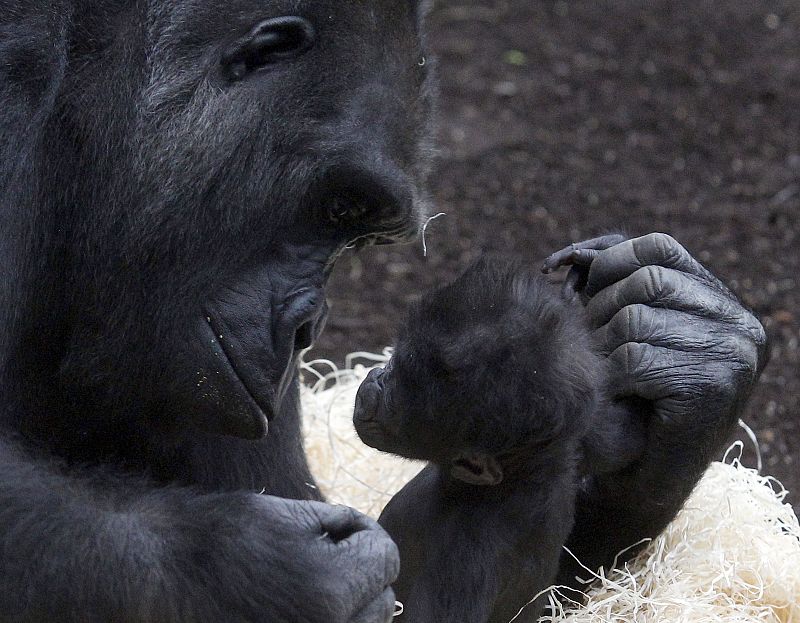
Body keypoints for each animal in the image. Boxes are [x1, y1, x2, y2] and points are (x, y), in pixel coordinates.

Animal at [354, 258, 648, 623]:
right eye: (393, 364)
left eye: (395, 393)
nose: (373, 381)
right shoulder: (574, 429)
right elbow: (621, 435)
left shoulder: (464, 559)